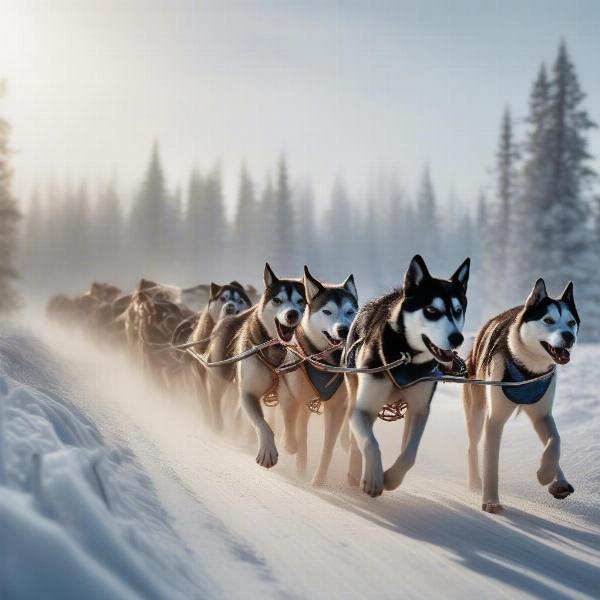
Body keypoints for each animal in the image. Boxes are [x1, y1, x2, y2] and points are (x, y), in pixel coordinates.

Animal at [205, 262, 304, 460]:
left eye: (300, 301)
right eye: (277, 300)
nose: (292, 314)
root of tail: (228, 317)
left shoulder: (289, 394)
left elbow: (289, 419)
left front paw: (289, 443)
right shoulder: (248, 392)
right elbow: (263, 424)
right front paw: (268, 449)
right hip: (219, 376)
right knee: (215, 397)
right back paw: (218, 424)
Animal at [278, 266, 358, 482]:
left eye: (350, 312)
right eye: (327, 311)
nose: (344, 329)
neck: (322, 361)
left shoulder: (336, 407)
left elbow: (327, 448)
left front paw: (319, 480)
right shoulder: (290, 393)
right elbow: (291, 426)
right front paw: (289, 446)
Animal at [346, 256, 468, 496]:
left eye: (458, 310)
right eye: (432, 310)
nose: (457, 338)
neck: (406, 358)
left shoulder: (420, 409)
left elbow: (409, 453)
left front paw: (392, 478)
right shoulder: (362, 408)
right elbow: (369, 443)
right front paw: (373, 478)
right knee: (355, 439)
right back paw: (354, 471)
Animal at [462, 278, 580, 512]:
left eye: (571, 322)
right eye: (548, 320)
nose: (569, 336)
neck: (529, 368)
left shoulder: (542, 415)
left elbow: (555, 441)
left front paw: (548, 474)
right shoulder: (494, 419)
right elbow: (491, 462)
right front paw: (491, 501)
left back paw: (559, 481)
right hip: (477, 412)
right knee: (472, 446)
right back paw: (475, 482)